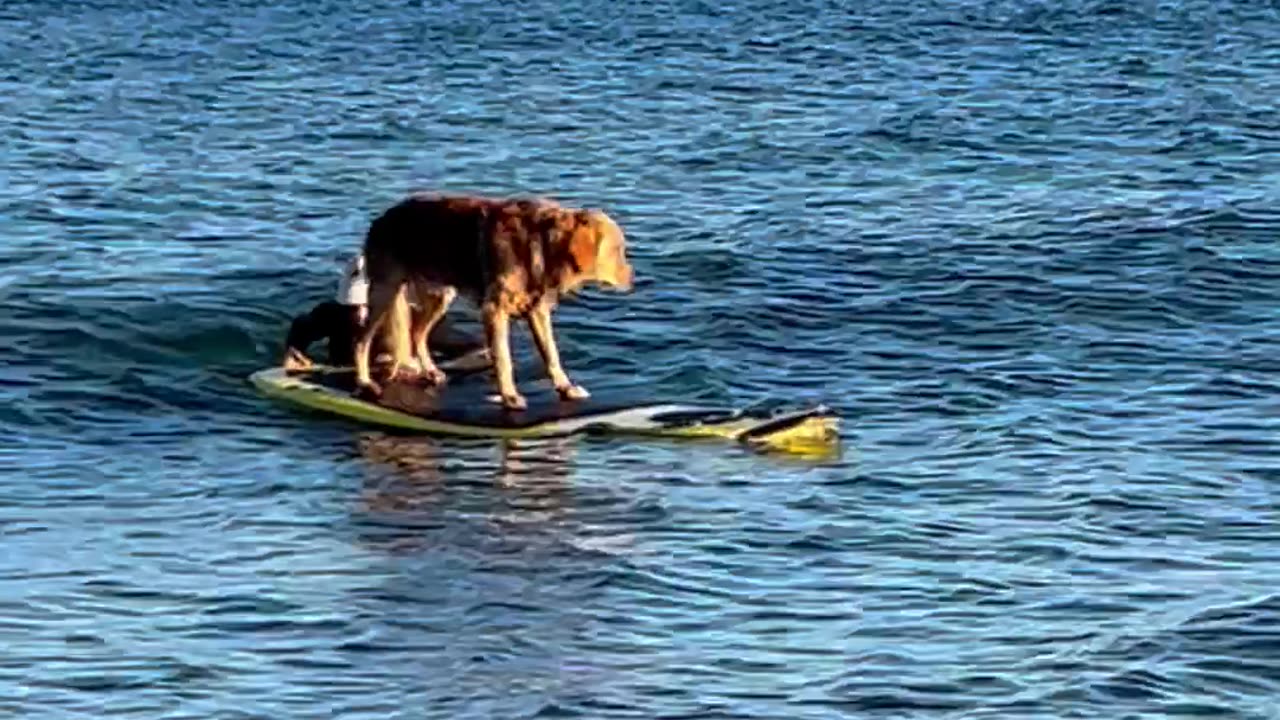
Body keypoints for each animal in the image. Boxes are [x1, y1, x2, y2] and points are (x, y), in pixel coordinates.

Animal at [350, 192, 634, 409]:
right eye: (617, 250)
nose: (633, 278)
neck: (541, 244)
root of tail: (381, 218)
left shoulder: (538, 312)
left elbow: (551, 354)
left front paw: (565, 388)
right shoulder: (495, 311)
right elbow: (503, 359)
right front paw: (509, 396)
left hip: (439, 295)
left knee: (416, 333)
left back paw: (430, 371)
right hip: (385, 294)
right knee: (362, 340)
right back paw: (365, 382)